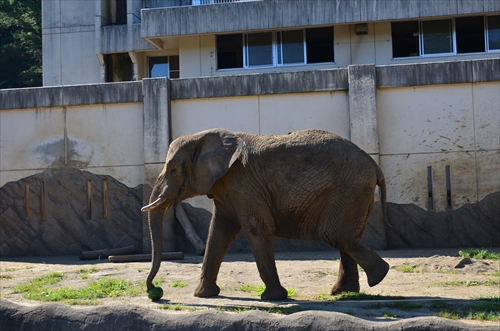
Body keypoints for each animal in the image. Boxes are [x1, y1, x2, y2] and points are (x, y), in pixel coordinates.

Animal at [142, 128, 390, 302]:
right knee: (347, 236)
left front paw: (272, 298)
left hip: (349, 189)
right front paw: (204, 295)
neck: (203, 137)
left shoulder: (244, 184)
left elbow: (257, 229)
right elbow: (219, 233)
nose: (153, 289)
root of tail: (375, 166)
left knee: (334, 234)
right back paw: (344, 292)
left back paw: (378, 277)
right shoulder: (227, 188)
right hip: (355, 193)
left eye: (173, 170)